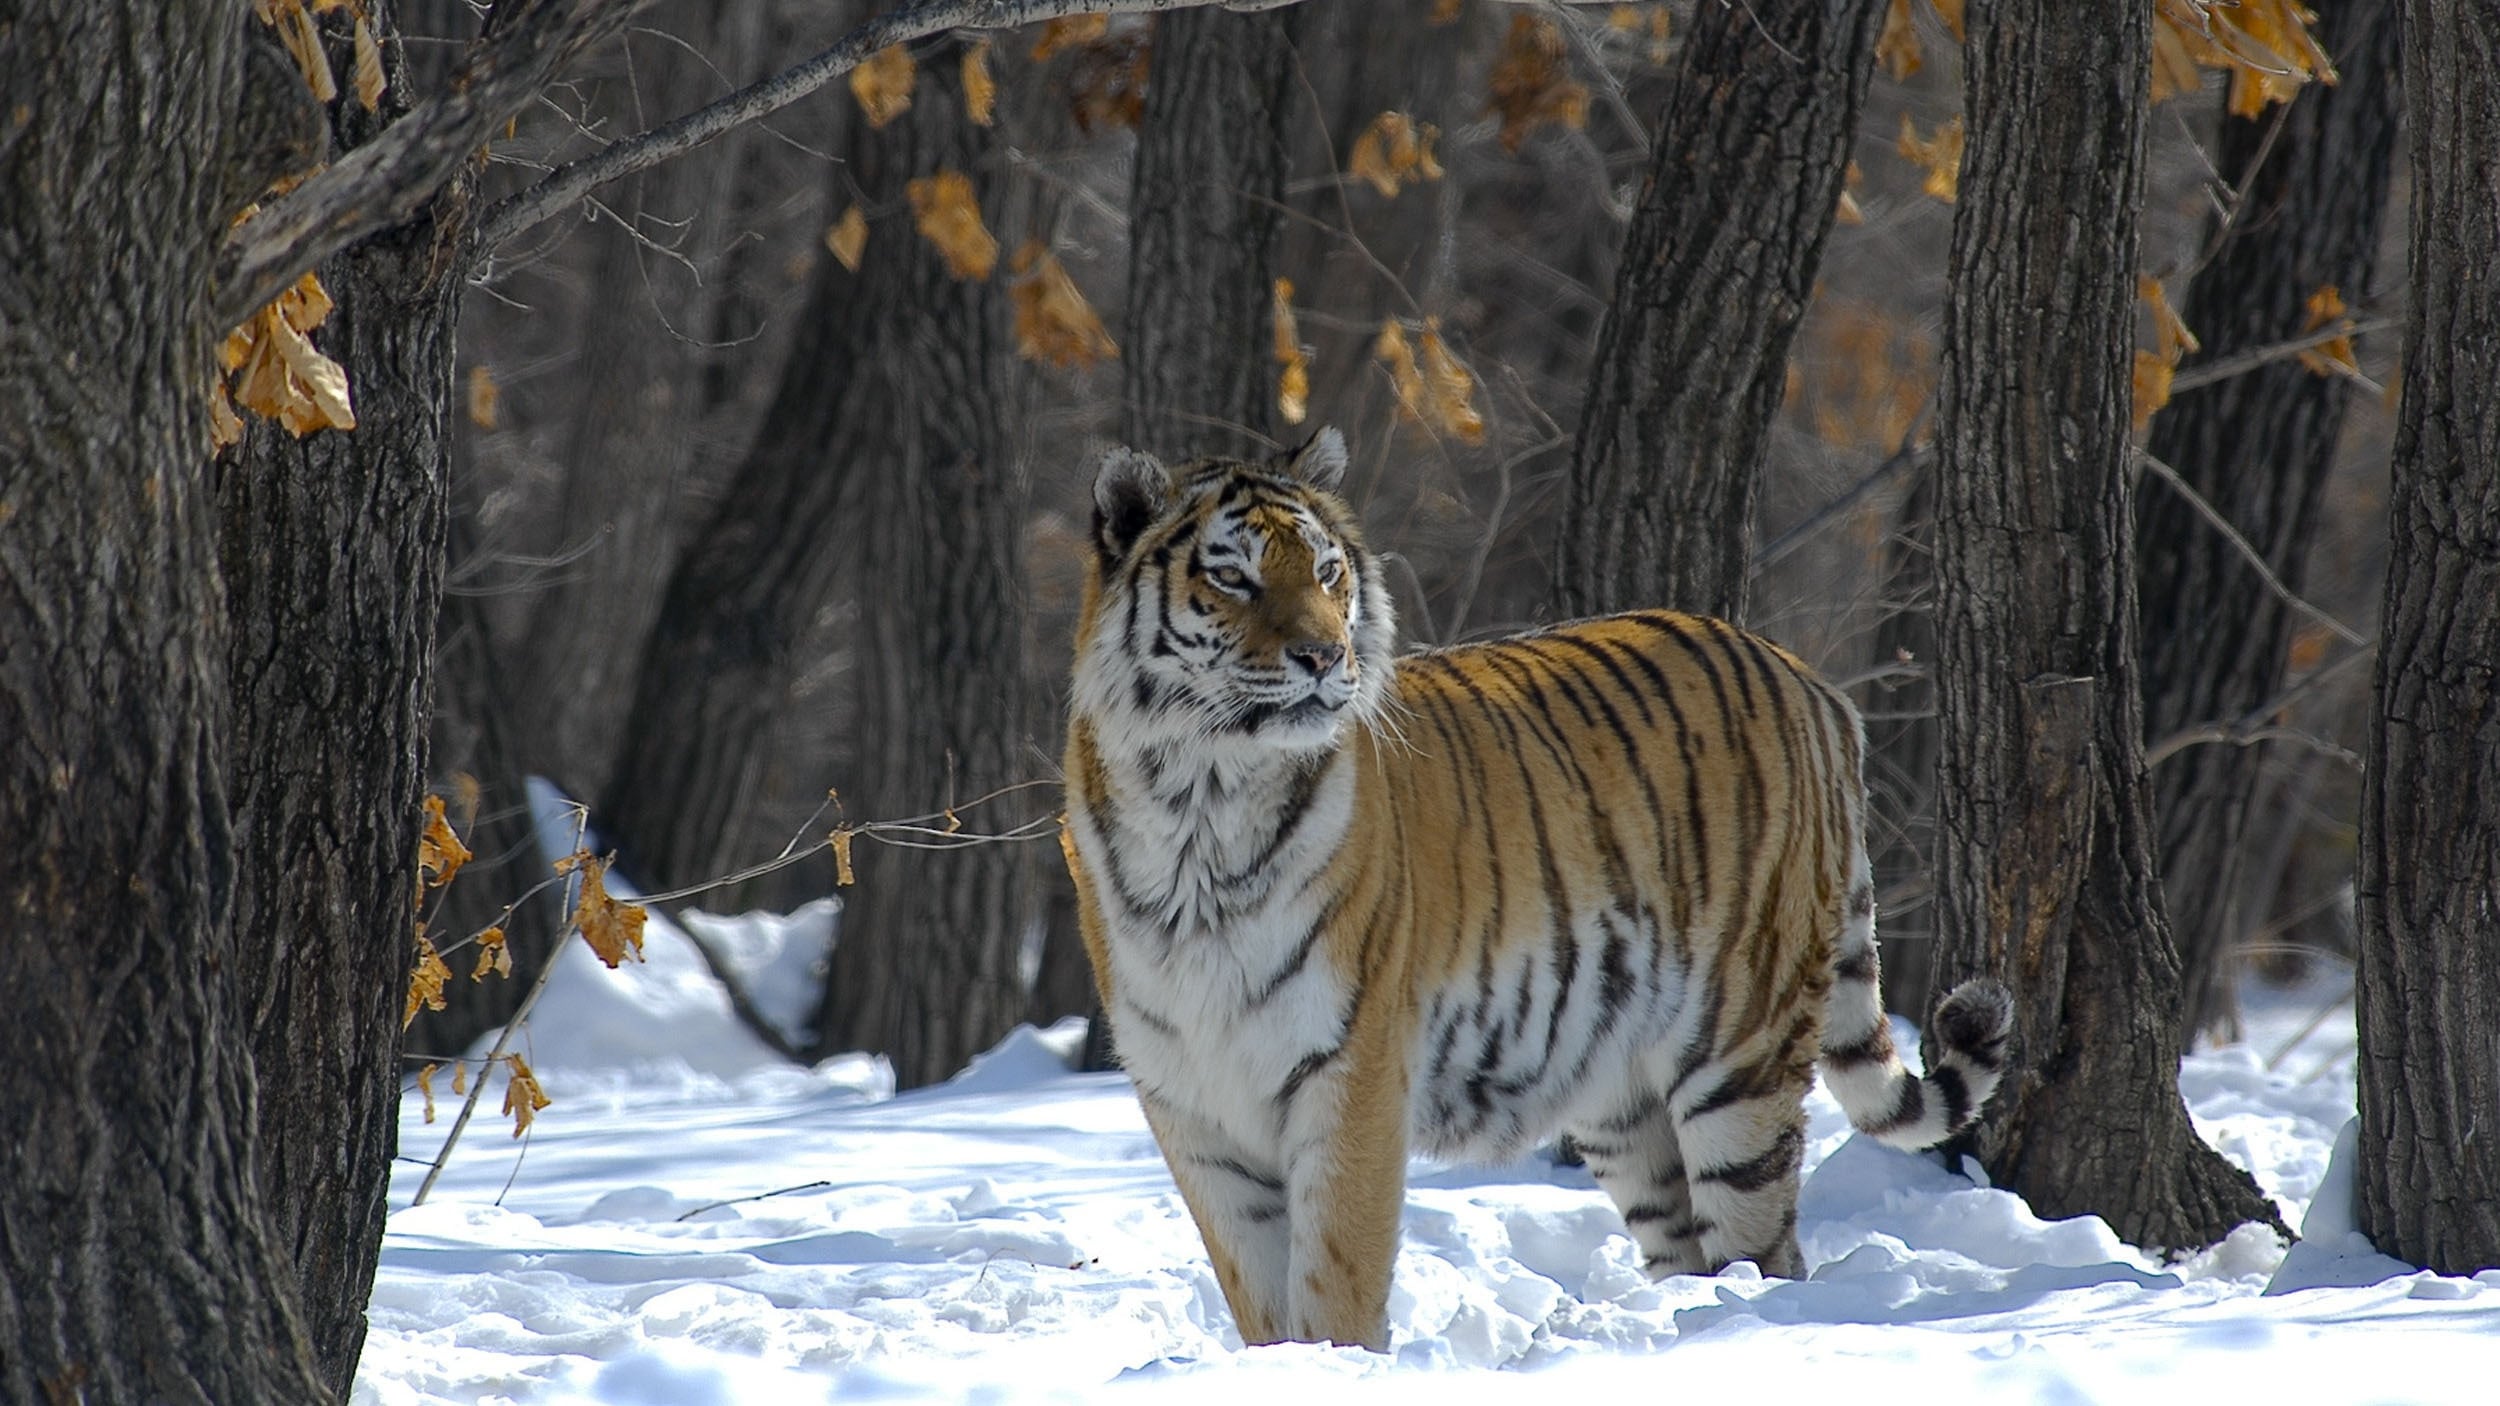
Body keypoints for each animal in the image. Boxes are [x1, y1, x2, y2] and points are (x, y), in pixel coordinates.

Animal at [1055, 430, 2010, 1350]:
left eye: (1327, 573)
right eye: (1232, 577)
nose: (1325, 656)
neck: (1199, 805)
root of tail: (1811, 682)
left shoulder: (1350, 1074)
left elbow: (1335, 1283)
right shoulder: (1194, 1108)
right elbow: (1260, 1301)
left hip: (1741, 1054)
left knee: (1767, 1249)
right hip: (1622, 1099)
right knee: (1688, 1245)